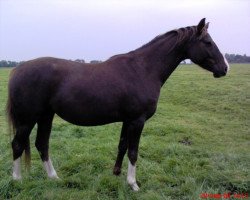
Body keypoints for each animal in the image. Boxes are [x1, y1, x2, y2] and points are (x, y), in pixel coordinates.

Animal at [6, 19, 229, 191]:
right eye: (208, 42)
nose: (225, 68)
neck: (143, 69)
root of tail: (17, 70)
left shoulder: (127, 120)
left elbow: (122, 146)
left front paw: (116, 174)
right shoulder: (137, 121)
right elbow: (133, 151)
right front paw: (133, 184)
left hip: (46, 115)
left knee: (42, 144)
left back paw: (54, 178)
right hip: (28, 119)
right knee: (18, 144)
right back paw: (17, 180)